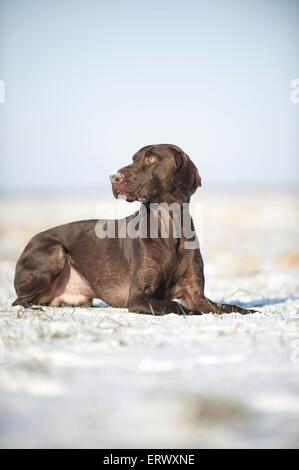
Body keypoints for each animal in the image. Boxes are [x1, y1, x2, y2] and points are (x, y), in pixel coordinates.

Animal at [12, 141, 255, 314]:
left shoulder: (195, 293)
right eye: (133, 159)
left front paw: (247, 311)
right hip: (55, 250)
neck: (169, 226)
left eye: (151, 158)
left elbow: (224, 307)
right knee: (19, 301)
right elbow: (175, 306)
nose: (114, 177)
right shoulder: (138, 297)